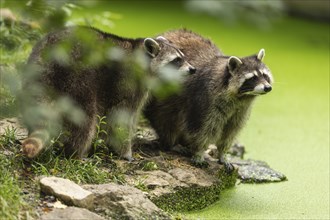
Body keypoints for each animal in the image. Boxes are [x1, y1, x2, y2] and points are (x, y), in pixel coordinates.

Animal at [20, 25, 195, 161]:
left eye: (183, 56)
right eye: (177, 61)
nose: (193, 69)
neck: (142, 58)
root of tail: (51, 55)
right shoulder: (129, 83)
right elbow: (121, 120)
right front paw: (125, 152)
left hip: (35, 74)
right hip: (80, 78)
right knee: (85, 118)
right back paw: (75, 153)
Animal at [144, 44, 274, 170]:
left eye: (265, 75)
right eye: (253, 78)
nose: (268, 87)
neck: (241, 96)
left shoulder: (241, 110)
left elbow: (230, 132)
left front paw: (223, 154)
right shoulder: (204, 101)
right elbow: (201, 129)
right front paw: (199, 152)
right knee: (165, 119)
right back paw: (171, 143)